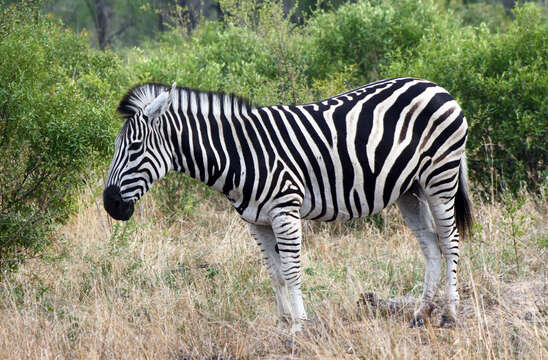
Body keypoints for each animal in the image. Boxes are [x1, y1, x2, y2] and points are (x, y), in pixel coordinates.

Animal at [105, 77, 474, 334]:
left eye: (134, 147)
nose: (110, 205)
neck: (240, 156)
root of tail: (436, 86)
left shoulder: (285, 210)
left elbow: (293, 270)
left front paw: (299, 328)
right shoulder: (257, 221)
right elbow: (275, 273)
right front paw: (282, 325)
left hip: (440, 178)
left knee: (450, 241)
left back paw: (450, 315)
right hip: (409, 191)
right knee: (430, 246)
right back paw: (420, 314)